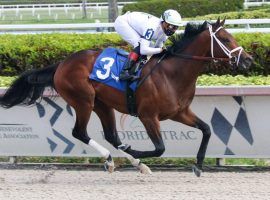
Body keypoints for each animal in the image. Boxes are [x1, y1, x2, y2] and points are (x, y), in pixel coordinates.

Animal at [0, 19, 253, 177]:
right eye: (226, 40)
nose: (248, 60)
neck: (172, 73)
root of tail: (61, 64)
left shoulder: (179, 112)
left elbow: (207, 130)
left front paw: (198, 165)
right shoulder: (148, 115)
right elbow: (159, 148)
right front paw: (138, 153)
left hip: (102, 105)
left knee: (112, 136)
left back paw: (136, 163)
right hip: (83, 101)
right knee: (79, 133)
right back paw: (113, 159)